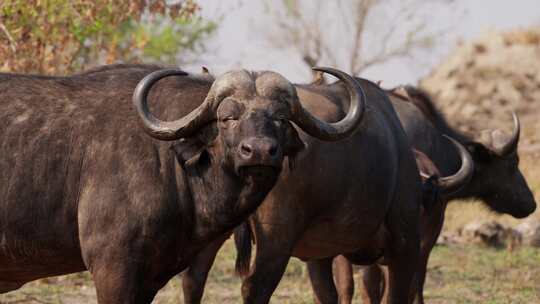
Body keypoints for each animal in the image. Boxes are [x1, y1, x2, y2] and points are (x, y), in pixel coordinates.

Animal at [0, 63, 364, 302]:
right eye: (228, 117)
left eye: (281, 117)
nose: (259, 151)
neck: (171, 160)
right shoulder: (112, 267)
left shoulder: (151, 276)